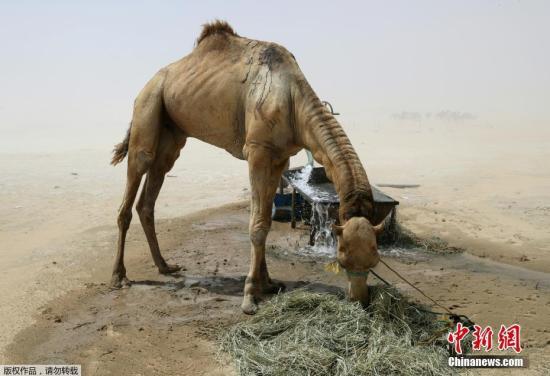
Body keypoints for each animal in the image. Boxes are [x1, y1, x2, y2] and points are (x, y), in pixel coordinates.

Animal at [112, 21, 384, 314]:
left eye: (374, 258)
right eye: (342, 258)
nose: (360, 300)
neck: (291, 98)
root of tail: (146, 86)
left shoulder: (278, 158)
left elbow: (264, 218)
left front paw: (268, 283)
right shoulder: (257, 151)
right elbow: (257, 224)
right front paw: (250, 296)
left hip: (172, 132)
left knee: (150, 194)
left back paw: (165, 266)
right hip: (148, 108)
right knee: (135, 177)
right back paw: (119, 277)